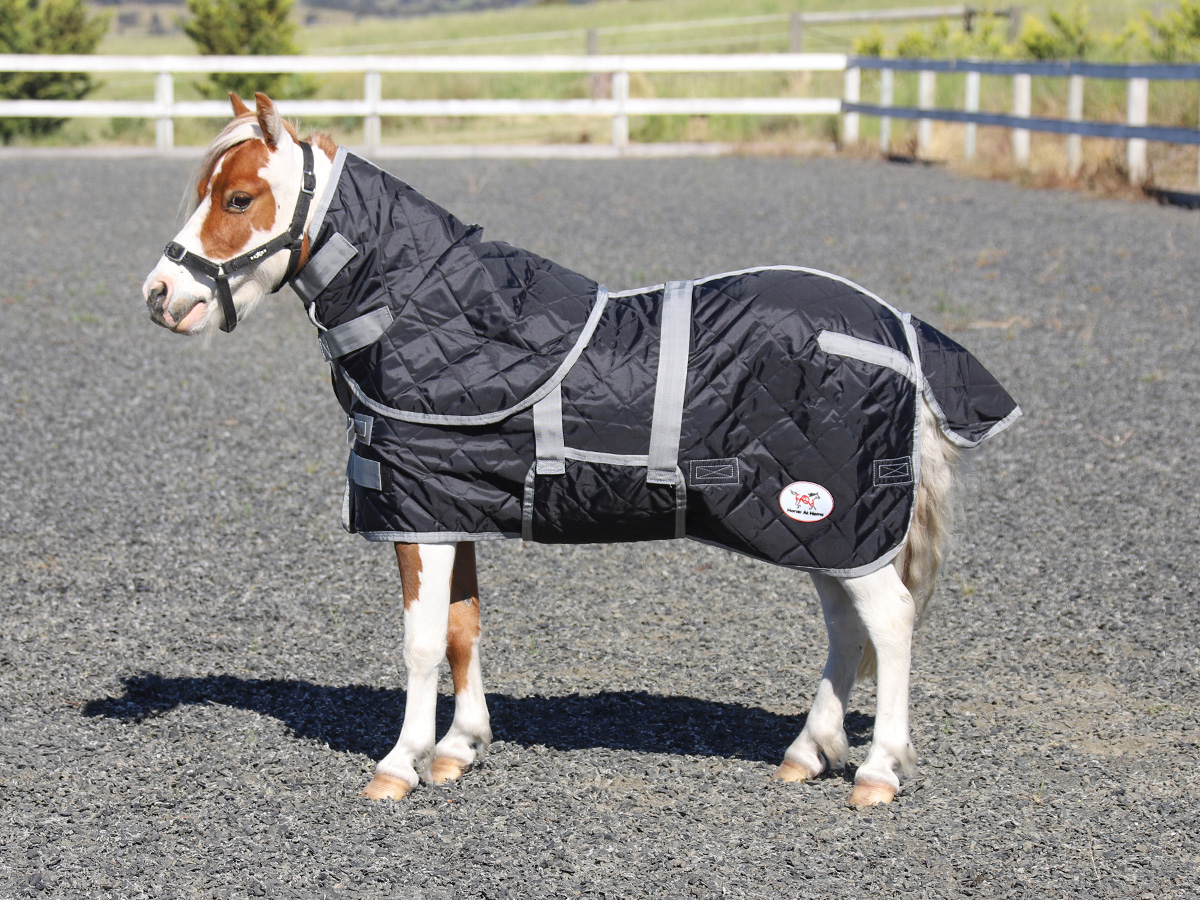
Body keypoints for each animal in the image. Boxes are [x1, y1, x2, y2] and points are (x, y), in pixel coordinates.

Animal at [142, 93, 1019, 807]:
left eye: (240, 197)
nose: (160, 296)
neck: (434, 314)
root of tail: (898, 330)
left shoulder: (418, 514)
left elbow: (421, 643)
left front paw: (399, 763)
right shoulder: (451, 504)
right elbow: (463, 628)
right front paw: (459, 748)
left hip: (834, 520)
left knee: (891, 624)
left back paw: (877, 772)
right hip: (821, 529)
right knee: (846, 628)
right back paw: (809, 752)